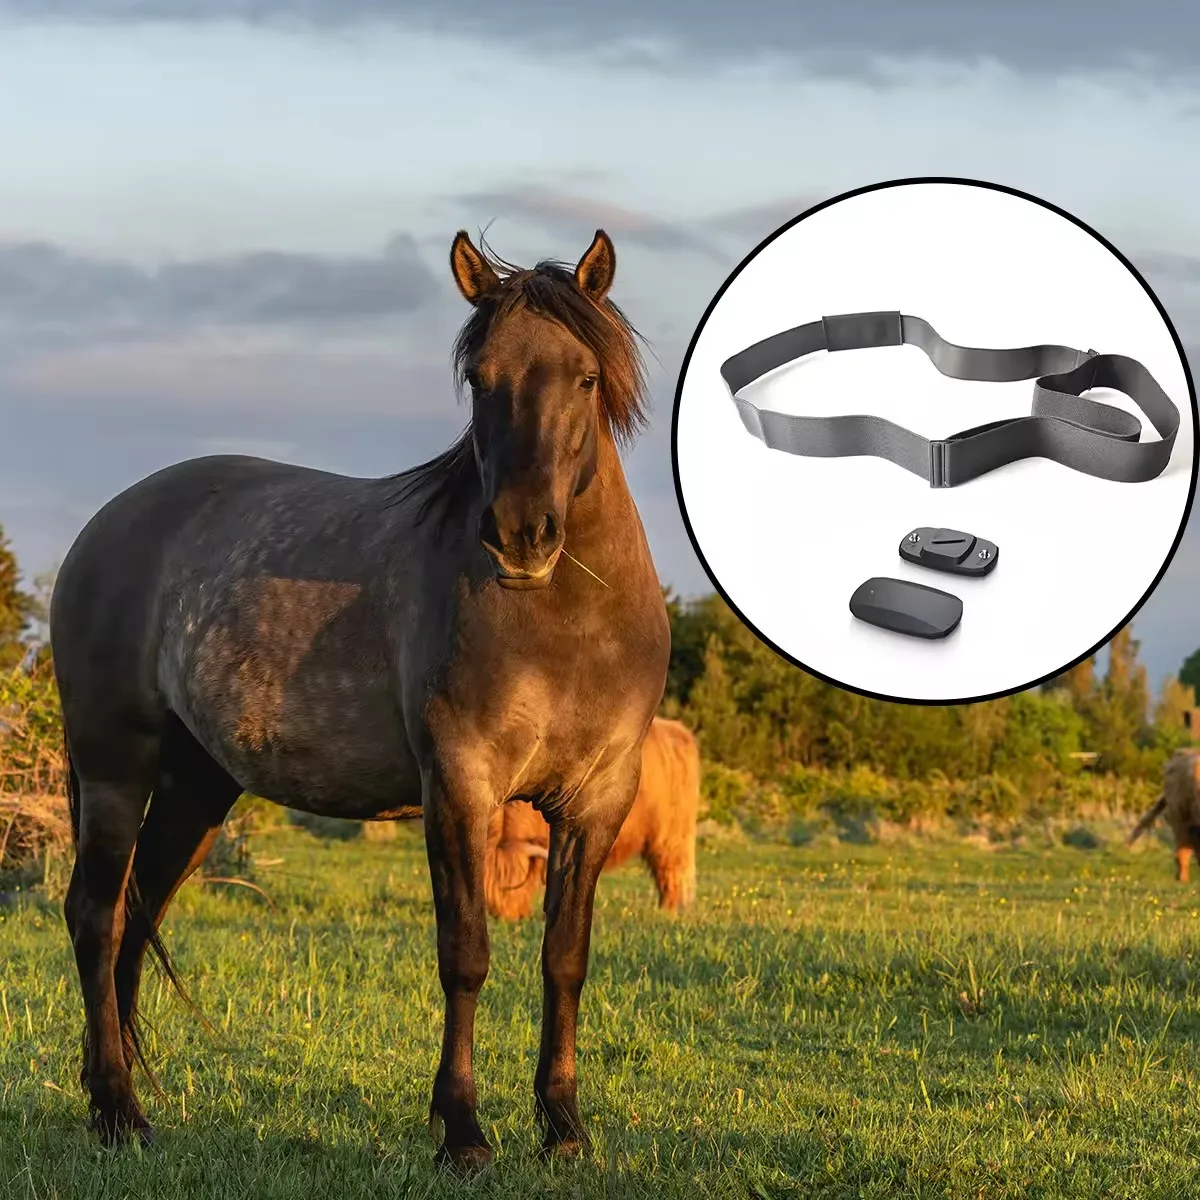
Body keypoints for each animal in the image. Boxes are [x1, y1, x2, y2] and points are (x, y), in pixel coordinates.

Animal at [49, 227, 671, 1171]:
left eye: (586, 377)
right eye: (480, 377)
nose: (520, 535)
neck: (567, 622)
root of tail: (106, 525)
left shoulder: (598, 800)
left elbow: (565, 959)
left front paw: (563, 1128)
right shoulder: (460, 787)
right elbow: (465, 954)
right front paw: (462, 1131)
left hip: (196, 790)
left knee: (134, 913)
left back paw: (115, 1105)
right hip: (116, 770)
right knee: (96, 918)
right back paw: (119, 1113)